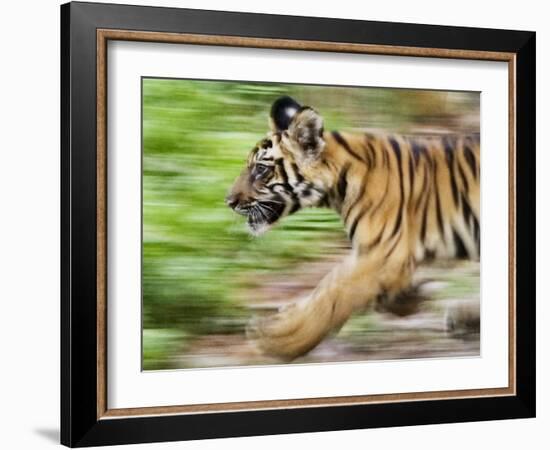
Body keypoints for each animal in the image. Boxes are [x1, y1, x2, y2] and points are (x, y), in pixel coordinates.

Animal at [226, 96, 480, 362]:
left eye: (261, 169)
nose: (228, 201)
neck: (338, 189)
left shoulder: (381, 254)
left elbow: (332, 295)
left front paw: (277, 339)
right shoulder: (375, 254)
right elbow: (330, 287)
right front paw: (411, 297)